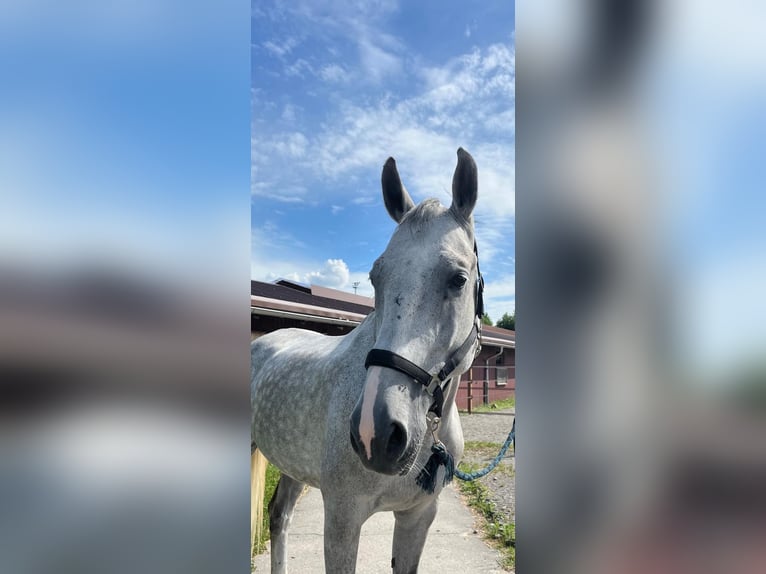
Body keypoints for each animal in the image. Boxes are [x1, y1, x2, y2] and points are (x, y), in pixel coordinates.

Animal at [251, 148, 484, 573]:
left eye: (458, 279)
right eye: (376, 276)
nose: (374, 433)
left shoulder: (417, 517)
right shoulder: (342, 520)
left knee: (279, 515)